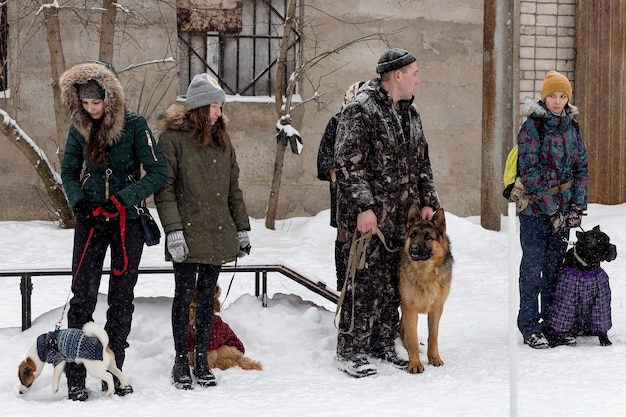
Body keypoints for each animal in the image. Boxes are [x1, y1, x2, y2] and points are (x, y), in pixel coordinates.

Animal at [398, 206, 450, 372]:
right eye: (413, 235)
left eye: (428, 237)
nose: (413, 248)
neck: (426, 273)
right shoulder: (409, 309)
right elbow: (412, 339)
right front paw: (414, 364)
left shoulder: (436, 309)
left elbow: (433, 336)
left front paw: (434, 358)